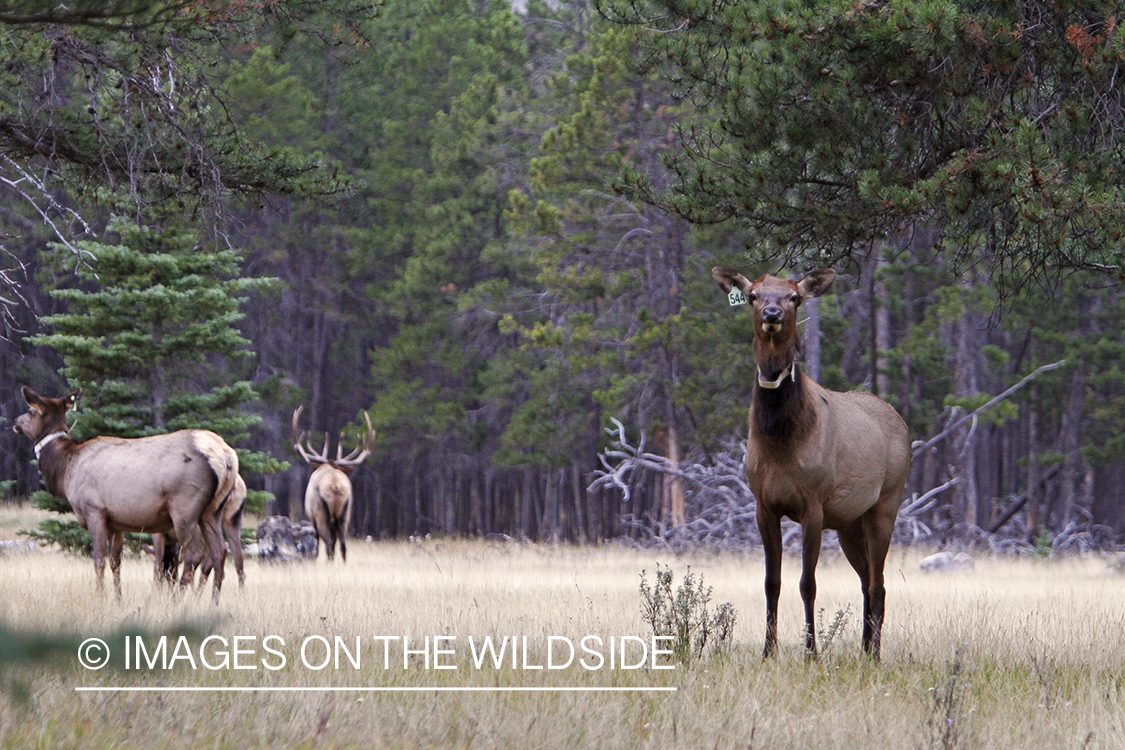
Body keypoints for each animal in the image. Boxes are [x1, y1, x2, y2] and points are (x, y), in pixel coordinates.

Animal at [14, 386, 238, 601]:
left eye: (30, 411)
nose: (16, 422)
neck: (65, 468)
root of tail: (227, 455)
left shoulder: (94, 509)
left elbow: (99, 560)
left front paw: (101, 598)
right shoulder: (116, 522)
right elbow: (116, 563)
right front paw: (118, 599)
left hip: (185, 507)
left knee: (194, 553)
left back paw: (177, 600)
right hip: (211, 510)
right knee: (220, 551)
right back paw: (213, 602)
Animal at [291, 406, 374, 562]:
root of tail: (335, 486)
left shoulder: (312, 517)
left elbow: (318, 542)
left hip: (321, 513)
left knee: (328, 544)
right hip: (345, 515)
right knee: (343, 546)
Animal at [712, 268, 911, 661]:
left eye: (795, 297)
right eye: (754, 295)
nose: (772, 313)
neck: (781, 443)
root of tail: (901, 422)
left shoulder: (813, 505)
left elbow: (808, 584)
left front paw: (811, 652)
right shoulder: (763, 505)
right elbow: (771, 582)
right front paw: (768, 651)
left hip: (886, 503)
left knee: (878, 583)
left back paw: (874, 655)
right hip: (849, 521)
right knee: (866, 580)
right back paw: (864, 649)